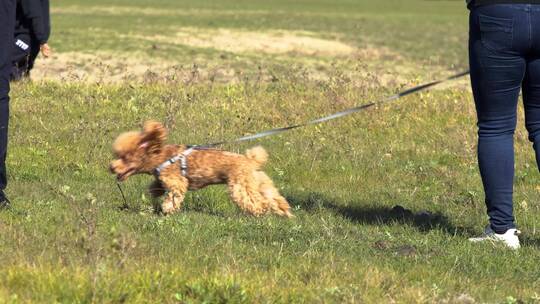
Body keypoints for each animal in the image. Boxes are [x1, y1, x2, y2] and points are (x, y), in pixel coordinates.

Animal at [109, 120, 294, 217]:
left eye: (125, 157)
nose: (111, 167)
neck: (160, 157)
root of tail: (251, 160)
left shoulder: (177, 182)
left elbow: (173, 196)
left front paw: (168, 210)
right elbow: (156, 186)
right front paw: (155, 193)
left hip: (240, 186)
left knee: (257, 202)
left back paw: (260, 212)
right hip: (259, 182)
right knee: (274, 198)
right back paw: (284, 212)